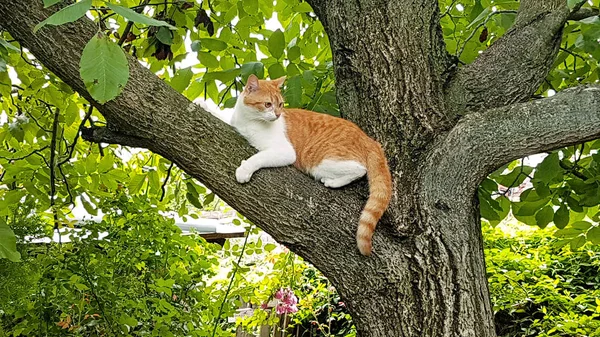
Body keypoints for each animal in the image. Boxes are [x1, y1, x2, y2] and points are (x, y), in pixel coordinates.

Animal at [198, 75, 394, 255]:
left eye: (280, 104)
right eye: (268, 104)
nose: (278, 115)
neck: (249, 120)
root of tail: (370, 140)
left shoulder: (284, 151)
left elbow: (258, 157)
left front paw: (244, 170)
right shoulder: (236, 125)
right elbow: (223, 117)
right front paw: (204, 105)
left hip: (317, 161)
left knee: (359, 170)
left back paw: (332, 181)